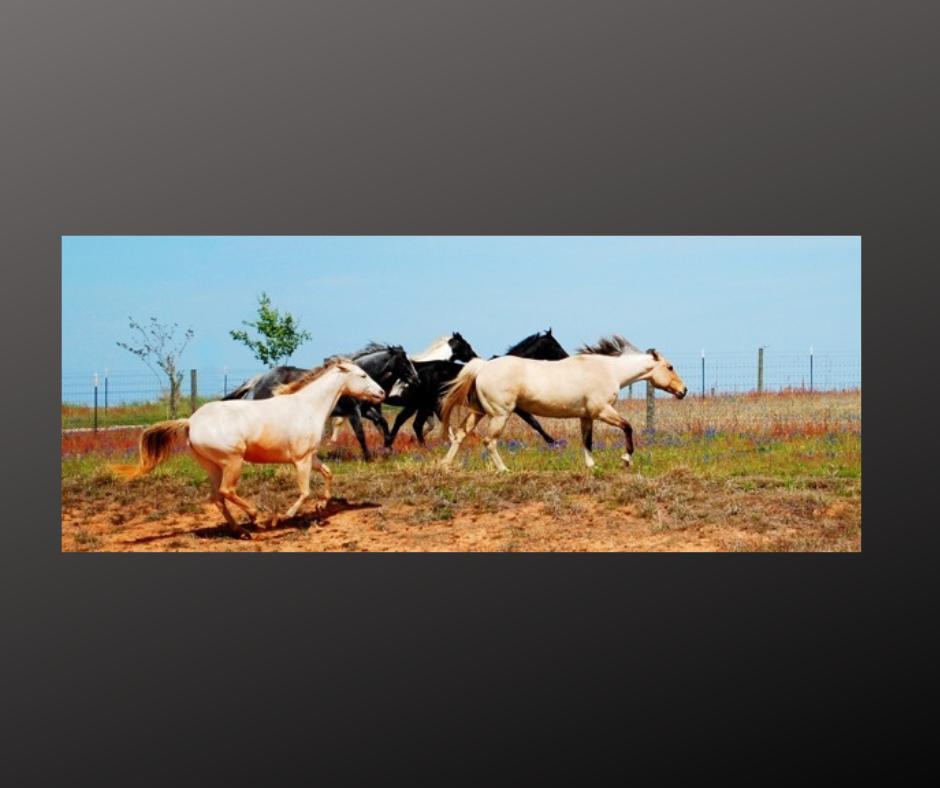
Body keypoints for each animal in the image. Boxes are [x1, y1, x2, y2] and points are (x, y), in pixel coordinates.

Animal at [111, 359, 385, 539]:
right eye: (362, 376)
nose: (382, 393)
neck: (307, 406)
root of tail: (190, 422)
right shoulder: (300, 460)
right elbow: (304, 491)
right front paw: (281, 517)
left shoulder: (310, 456)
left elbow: (328, 473)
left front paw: (321, 507)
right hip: (232, 461)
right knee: (226, 491)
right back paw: (256, 518)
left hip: (212, 466)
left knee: (217, 497)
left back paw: (241, 531)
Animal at [223, 343, 419, 461]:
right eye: (404, 361)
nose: (416, 379)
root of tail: (258, 379)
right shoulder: (353, 411)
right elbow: (360, 433)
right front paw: (368, 457)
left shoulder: (365, 410)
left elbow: (383, 423)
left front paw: (388, 448)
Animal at [383, 329, 568, 448]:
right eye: (555, 345)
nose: (567, 357)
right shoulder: (515, 407)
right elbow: (534, 422)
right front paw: (553, 442)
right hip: (423, 404)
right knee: (411, 423)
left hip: (423, 404)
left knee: (414, 424)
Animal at [440, 335, 687, 473]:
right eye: (670, 367)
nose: (683, 391)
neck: (609, 370)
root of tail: (482, 366)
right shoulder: (602, 411)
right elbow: (627, 427)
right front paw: (626, 460)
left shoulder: (586, 416)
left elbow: (587, 441)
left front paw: (592, 467)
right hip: (500, 414)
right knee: (489, 441)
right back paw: (504, 470)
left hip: (479, 411)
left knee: (460, 434)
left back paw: (446, 466)